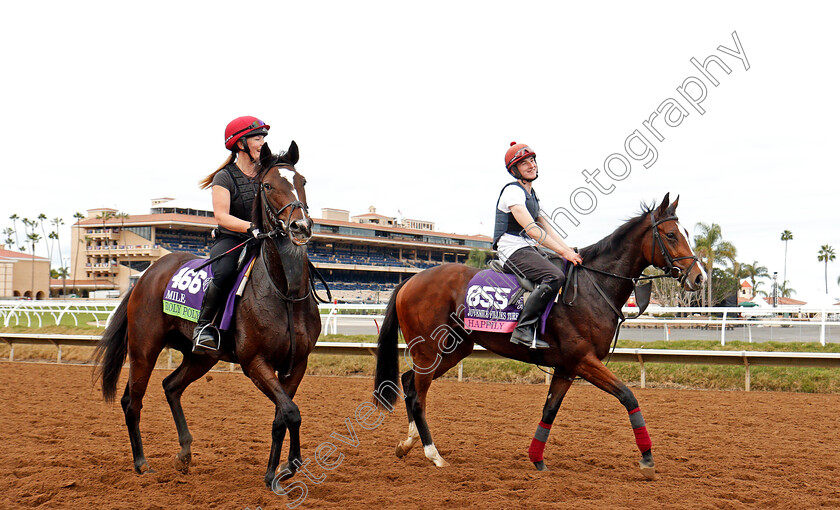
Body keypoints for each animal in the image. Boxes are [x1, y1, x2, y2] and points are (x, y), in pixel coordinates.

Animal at [92, 141, 322, 488]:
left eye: (302, 181)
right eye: (268, 185)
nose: (301, 226)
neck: (286, 293)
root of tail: (147, 273)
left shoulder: (296, 365)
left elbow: (282, 415)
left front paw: (274, 472)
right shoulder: (254, 363)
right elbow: (291, 412)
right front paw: (288, 467)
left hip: (201, 356)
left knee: (171, 386)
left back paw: (185, 453)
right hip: (144, 348)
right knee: (132, 401)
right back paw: (142, 464)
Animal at [374, 194, 704, 478]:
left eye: (686, 232)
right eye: (671, 234)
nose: (699, 277)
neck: (593, 286)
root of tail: (410, 281)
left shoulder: (567, 367)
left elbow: (550, 409)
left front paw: (537, 459)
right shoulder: (583, 360)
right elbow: (628, 395)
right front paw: (647, 458)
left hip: (454, 350)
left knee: (410, 384)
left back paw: (408, 443)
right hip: (430, 350)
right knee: (418, 395)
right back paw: (433, 454)